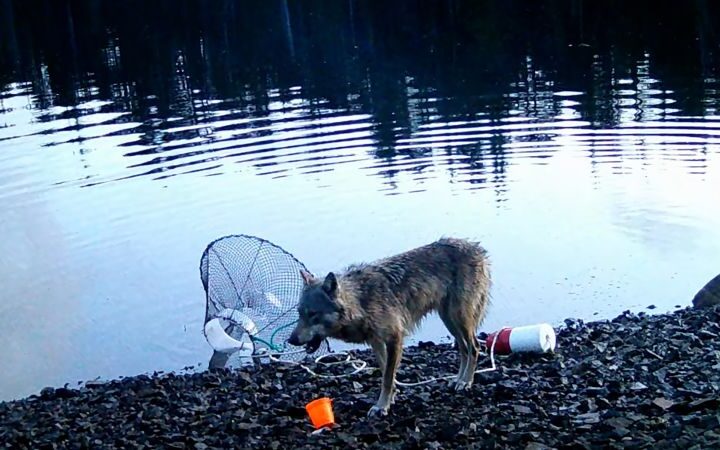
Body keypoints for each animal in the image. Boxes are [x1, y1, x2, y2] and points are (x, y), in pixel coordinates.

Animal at [287, 237, 491, 417]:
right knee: (464, 349)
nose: (291, 340)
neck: (360, 302)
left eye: (313, 314)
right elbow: (386, 372)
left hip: (459, 319)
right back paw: (458, 380)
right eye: (299, 313)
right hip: (450, 321)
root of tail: (477, 248)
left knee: (474, 347)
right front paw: (390, 398)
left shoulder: (395, 339)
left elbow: (386, 377)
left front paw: (381, 407)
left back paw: (466, 382)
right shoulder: (376, 342)